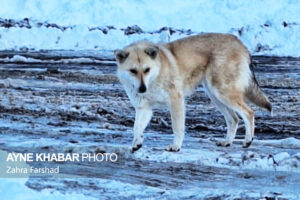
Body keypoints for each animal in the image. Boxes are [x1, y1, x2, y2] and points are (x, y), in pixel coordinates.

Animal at [113, 32, 272, 152]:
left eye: (147, 70)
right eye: (133, 71)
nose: (142, 89)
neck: (155, 77)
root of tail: (240, 43)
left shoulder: (176, 101)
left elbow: (177, 127)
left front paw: (176, 147)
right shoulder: (144, 108)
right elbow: (136, 128)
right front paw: (136, 144)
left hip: (223, 93)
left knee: (249, 113)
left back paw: (248, 141)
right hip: (215, 97)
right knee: (234, 119)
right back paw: (227, 142)